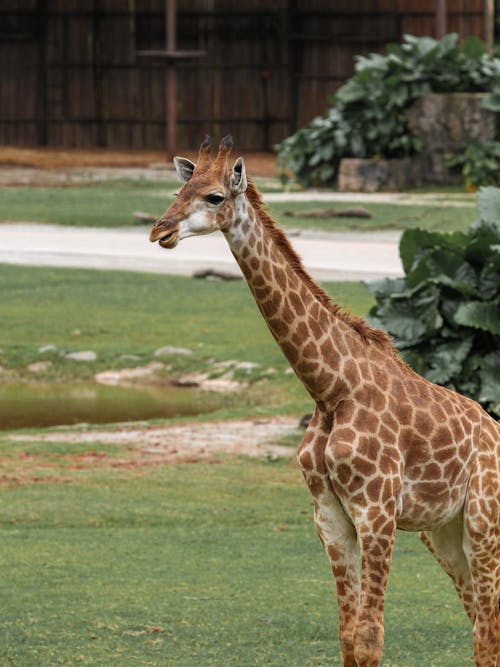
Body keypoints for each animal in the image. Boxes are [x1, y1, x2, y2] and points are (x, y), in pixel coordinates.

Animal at [149, 137, 500, 667]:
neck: (332, 388)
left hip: (483, 521)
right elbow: (348, 638)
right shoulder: (331, 517)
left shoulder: (377, 511)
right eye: (178, 190)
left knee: (487, 629)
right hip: (443, 533)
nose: (160, 230)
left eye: (214, 196)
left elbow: (370, 638)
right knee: (482, 626)